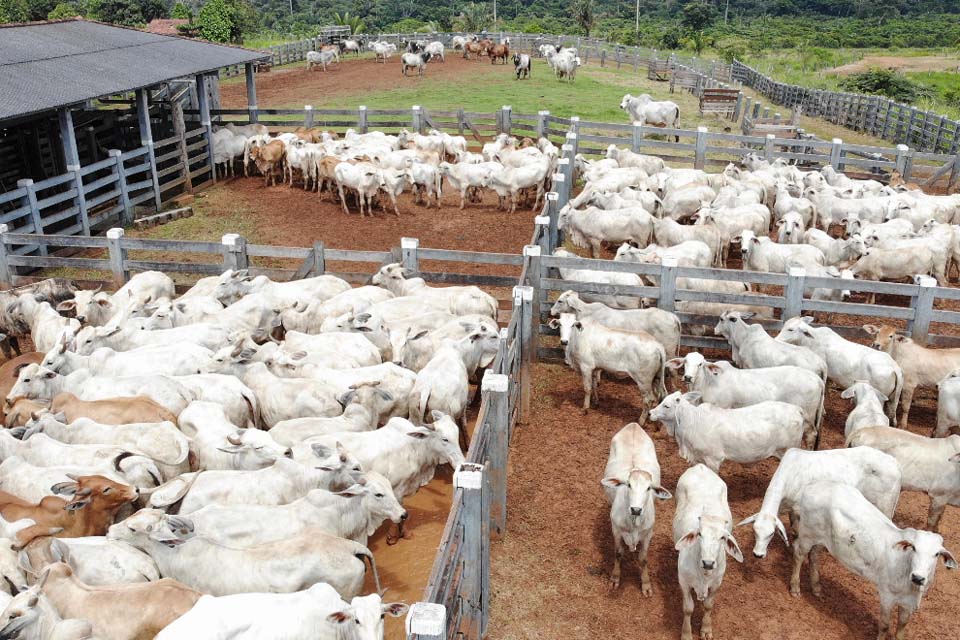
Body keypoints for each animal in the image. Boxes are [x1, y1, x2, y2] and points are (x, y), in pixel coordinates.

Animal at [604, 424, 672, 596]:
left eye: (649, 488)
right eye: (628, 484)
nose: (635, 509)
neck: (633, 523)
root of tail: (633, 425)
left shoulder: (648, 533)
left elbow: (643, 559)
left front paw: (646, 584)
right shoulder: (616, 529)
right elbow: (618, 553)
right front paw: (615, 578)